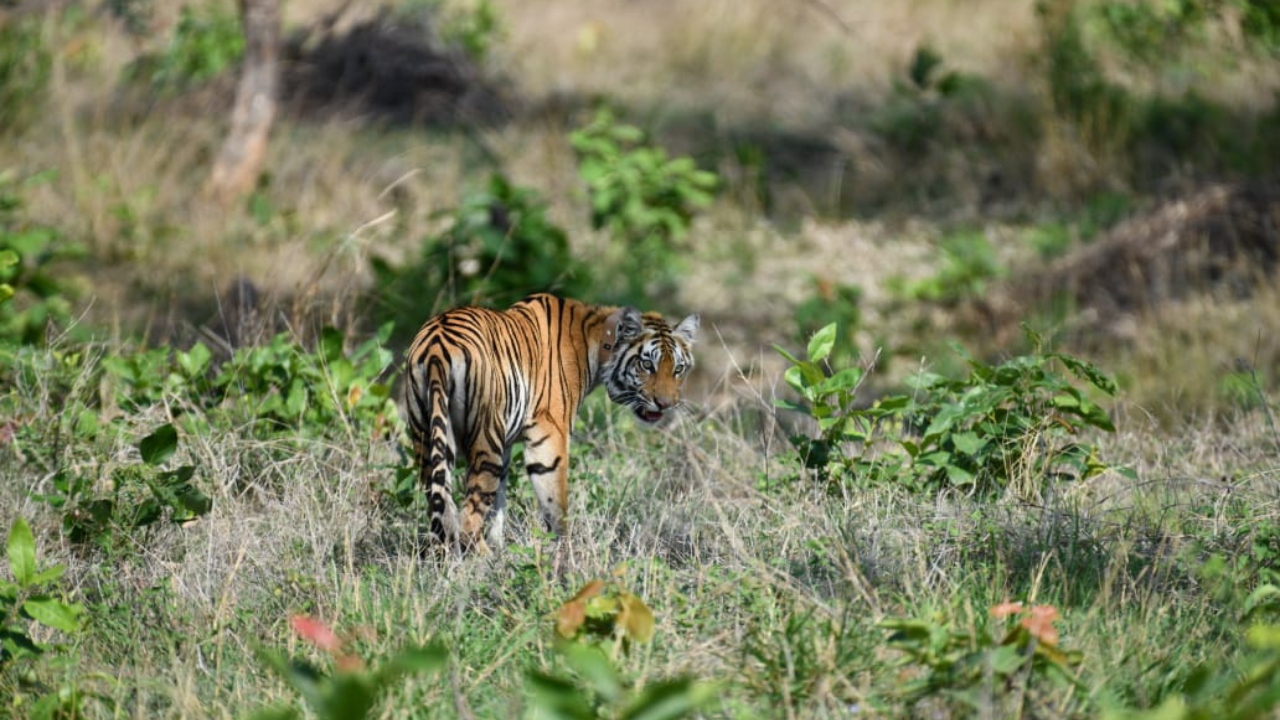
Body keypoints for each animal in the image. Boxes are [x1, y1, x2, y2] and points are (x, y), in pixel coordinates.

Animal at [404, 292, 701, 548]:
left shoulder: (507, 443)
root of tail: (436, 349)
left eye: (678, 369)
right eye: (647, 365)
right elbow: (556, 507)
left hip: (428, 440)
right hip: (485, 440)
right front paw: (563, 556)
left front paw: (501, 547)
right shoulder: (549, 436)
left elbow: (499, 502)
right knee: (466, 520)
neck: (597, 342)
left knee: (442, 510)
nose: (667, 404)